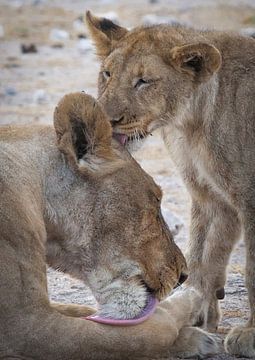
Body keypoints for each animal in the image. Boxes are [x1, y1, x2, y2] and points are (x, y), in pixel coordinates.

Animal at [0, 91, 221, 358]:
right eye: (155, 199)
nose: (183, 276)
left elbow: (88, 313)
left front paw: (194, 336)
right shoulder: (26, 325)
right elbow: (145, 332)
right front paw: (187, 301)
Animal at [85, 10, 255, 358]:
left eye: (143, 81)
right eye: (107, 74)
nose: (106, 120)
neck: (192, 124)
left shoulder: (249, 195)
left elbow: (252, 269)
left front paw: (250, 334)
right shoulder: (209, 194)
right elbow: (204, 255)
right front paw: (194, 316)